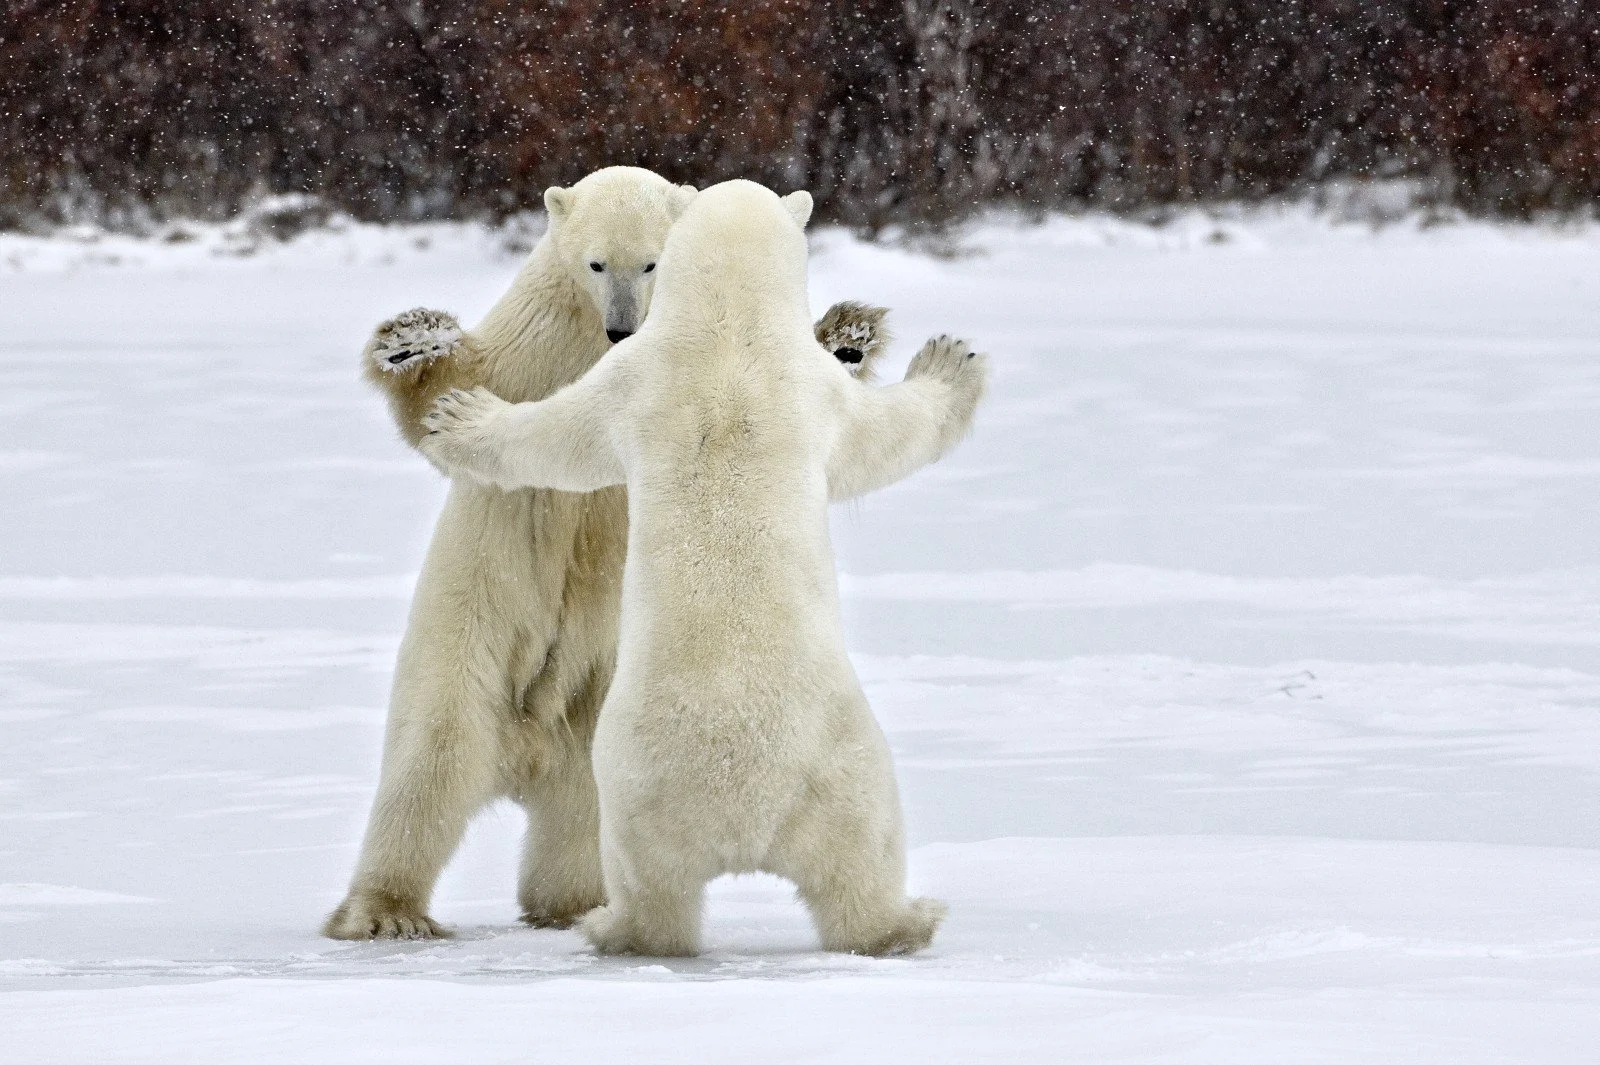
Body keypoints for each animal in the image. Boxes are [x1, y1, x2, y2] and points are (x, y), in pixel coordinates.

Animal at [321, 166, 902, 940]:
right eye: (597, 264)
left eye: (651, 264)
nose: (621, 327)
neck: (594, 339)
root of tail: (526, 744)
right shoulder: (536, 344)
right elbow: (453, 408)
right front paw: (413, 342)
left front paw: (848, 339)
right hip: (473, 625)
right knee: (432, 762)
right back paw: (388, 912)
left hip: (597, 686)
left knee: (578, 805)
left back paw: (571, 903)